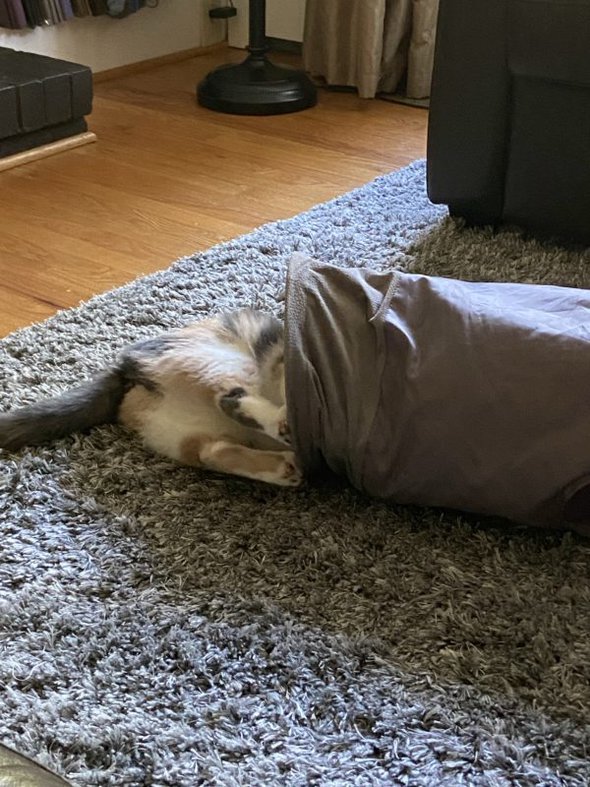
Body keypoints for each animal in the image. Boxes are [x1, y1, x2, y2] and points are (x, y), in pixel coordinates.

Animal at [0, 310, 306, 486]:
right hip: (225, 361)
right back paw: (283, 424)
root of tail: (124, 368)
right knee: (229, 398)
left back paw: (285, 467)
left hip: (179, 433)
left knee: (211, 451)